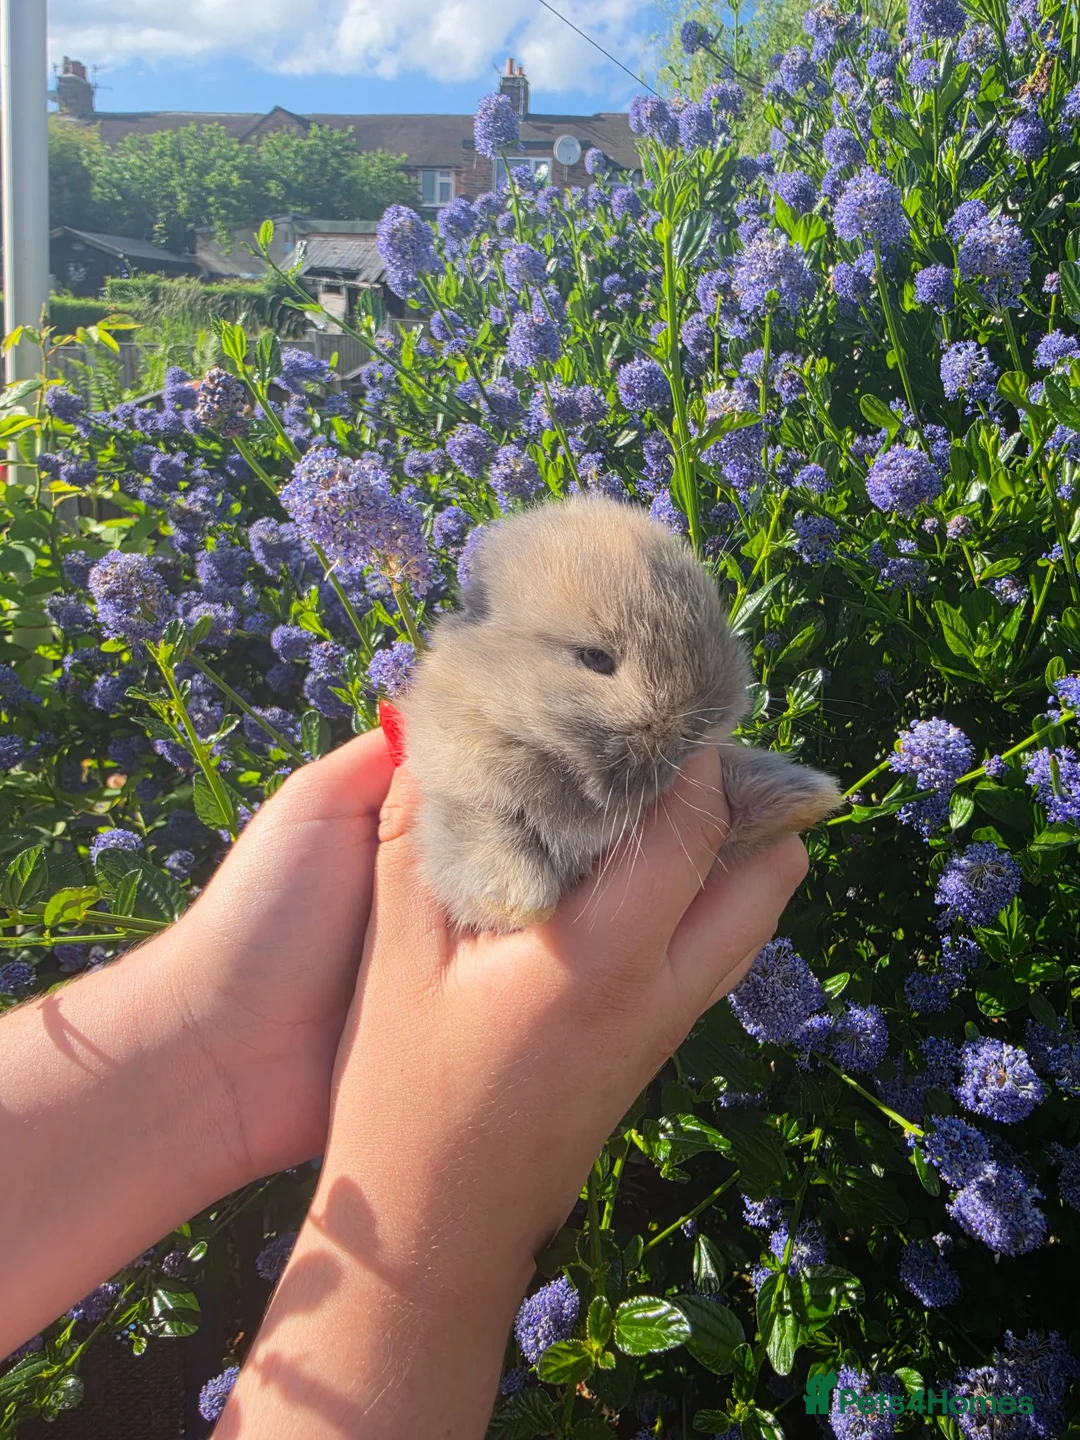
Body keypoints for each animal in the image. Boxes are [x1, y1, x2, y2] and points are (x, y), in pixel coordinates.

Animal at [396, 494, 841, 933]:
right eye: (595, 658)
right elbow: (482, 835)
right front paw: (520, 900)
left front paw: (811, 798)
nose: (696, 726)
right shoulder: (461, 795)